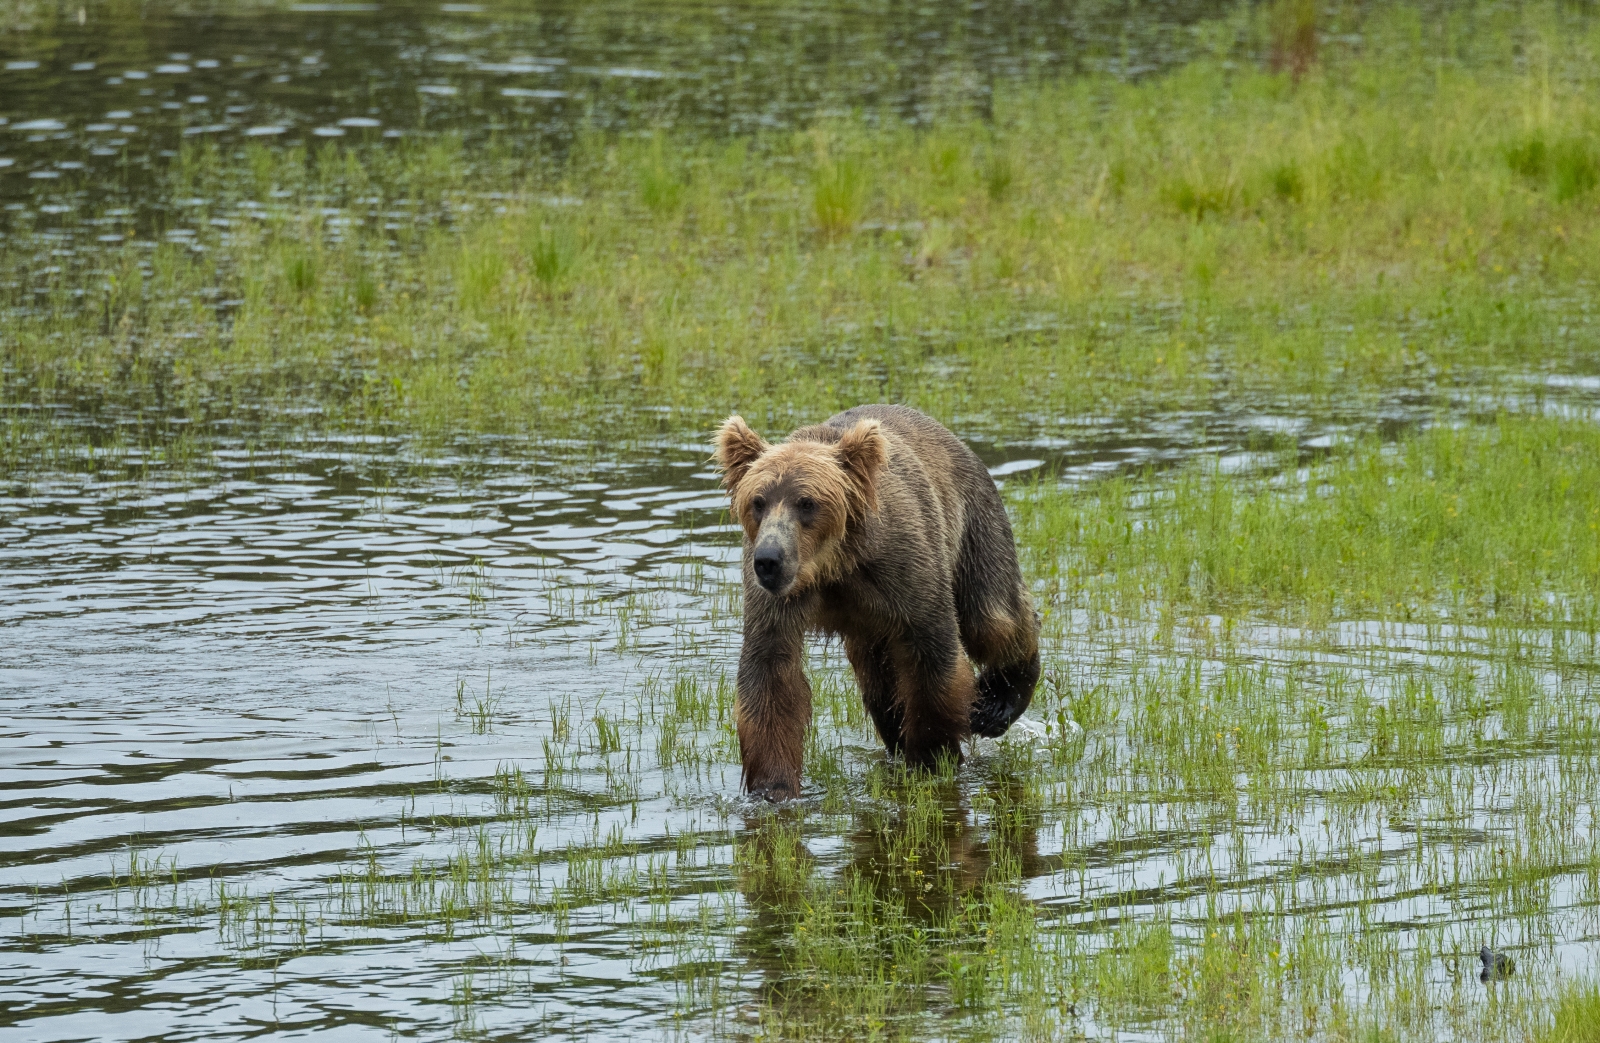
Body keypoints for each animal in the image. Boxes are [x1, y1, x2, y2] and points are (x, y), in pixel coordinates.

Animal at [713, 404, 1036, 799]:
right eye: (758, 501)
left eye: (807, 503)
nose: (769, 560)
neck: (834, 566)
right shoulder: (778, 603)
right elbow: (770, 676)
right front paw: (772, 787)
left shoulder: (905, 570)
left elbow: (932, 658)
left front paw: (934, 757)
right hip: (871, 626)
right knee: (880, 684)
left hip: (973, 525)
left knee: (992, 616)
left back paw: (998, 703)